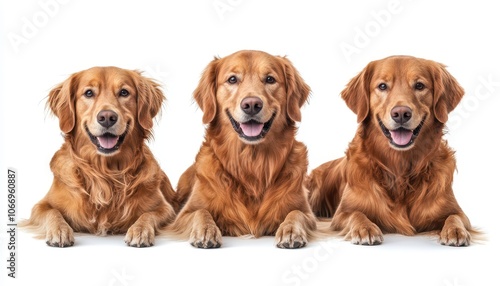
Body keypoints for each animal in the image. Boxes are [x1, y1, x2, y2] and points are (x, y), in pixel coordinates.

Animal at [21, 66, 178, 247]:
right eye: (89, 93)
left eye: (124, 92)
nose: (107, 117)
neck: (105, 172)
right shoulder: (41, 206)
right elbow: (52, 212)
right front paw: (59, 230)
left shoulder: (166, 209)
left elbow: (148, 214)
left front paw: (140, 230)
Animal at [171, 49, 316, 248]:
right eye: (232, 79)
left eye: (270, 79)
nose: (252, 105)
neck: (250, 162)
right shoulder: (183, 215)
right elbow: (201, 212)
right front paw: (206, 230)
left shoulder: (309, 214)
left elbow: (296, 213)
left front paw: (291, 230)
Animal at [306, 55, 474, 246]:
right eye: (382, 86)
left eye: (419, 86)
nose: (401, 113)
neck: (400, 169)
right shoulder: (341, 214)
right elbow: (357, 213)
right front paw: (365, 228)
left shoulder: (458, 212)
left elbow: (454, 217)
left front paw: (455, 230)